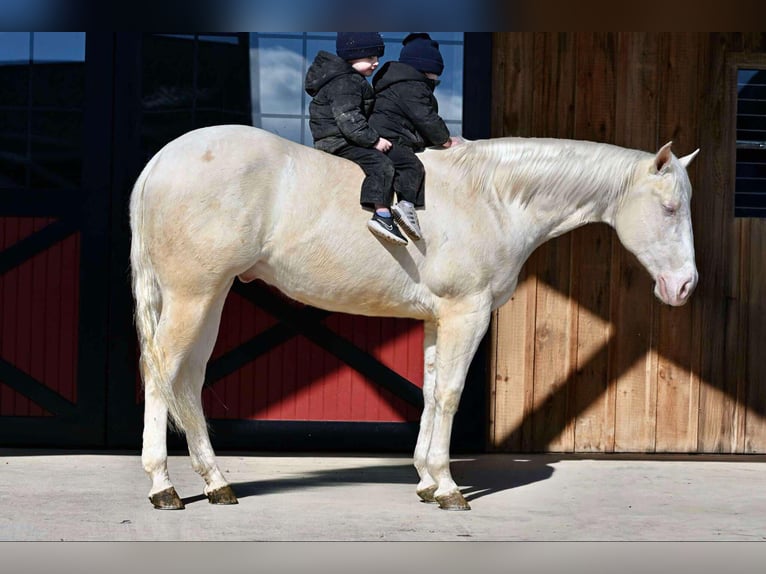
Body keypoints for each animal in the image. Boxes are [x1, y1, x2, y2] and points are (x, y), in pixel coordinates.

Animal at [132, 124, 704, 510]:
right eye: (671, 209)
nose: (684, 286)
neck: (492, 198)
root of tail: (160, 161)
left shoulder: (438, 320)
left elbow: (430, 393)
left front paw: (427, 481)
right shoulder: (467, 314)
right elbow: (449, 394)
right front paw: (449, 488)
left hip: (210, 298)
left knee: (189, 380)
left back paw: (216, 482)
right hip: (191, 296)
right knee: (160, 377)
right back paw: (164, 487)